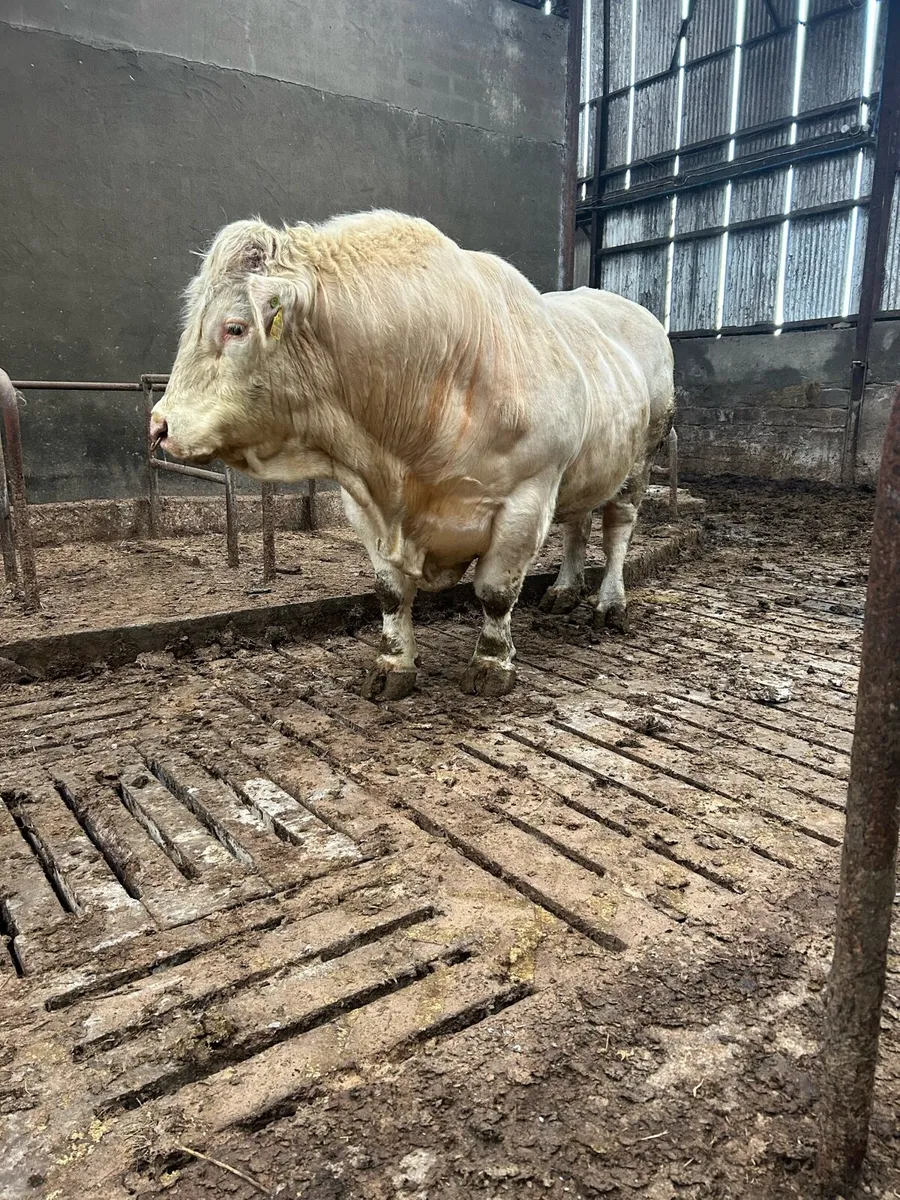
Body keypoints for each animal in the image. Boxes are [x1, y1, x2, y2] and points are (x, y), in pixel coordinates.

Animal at [150, 210, 674, 700]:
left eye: (235, 328)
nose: (159, 426)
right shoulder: (363, 504)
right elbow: (390, 591)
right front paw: (393, 664)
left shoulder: (528, 495)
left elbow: (496, 592)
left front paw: (491, 663)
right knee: (577, 524)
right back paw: (565, 590)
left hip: (640, 461)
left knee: (617, 531)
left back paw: (609, 604)